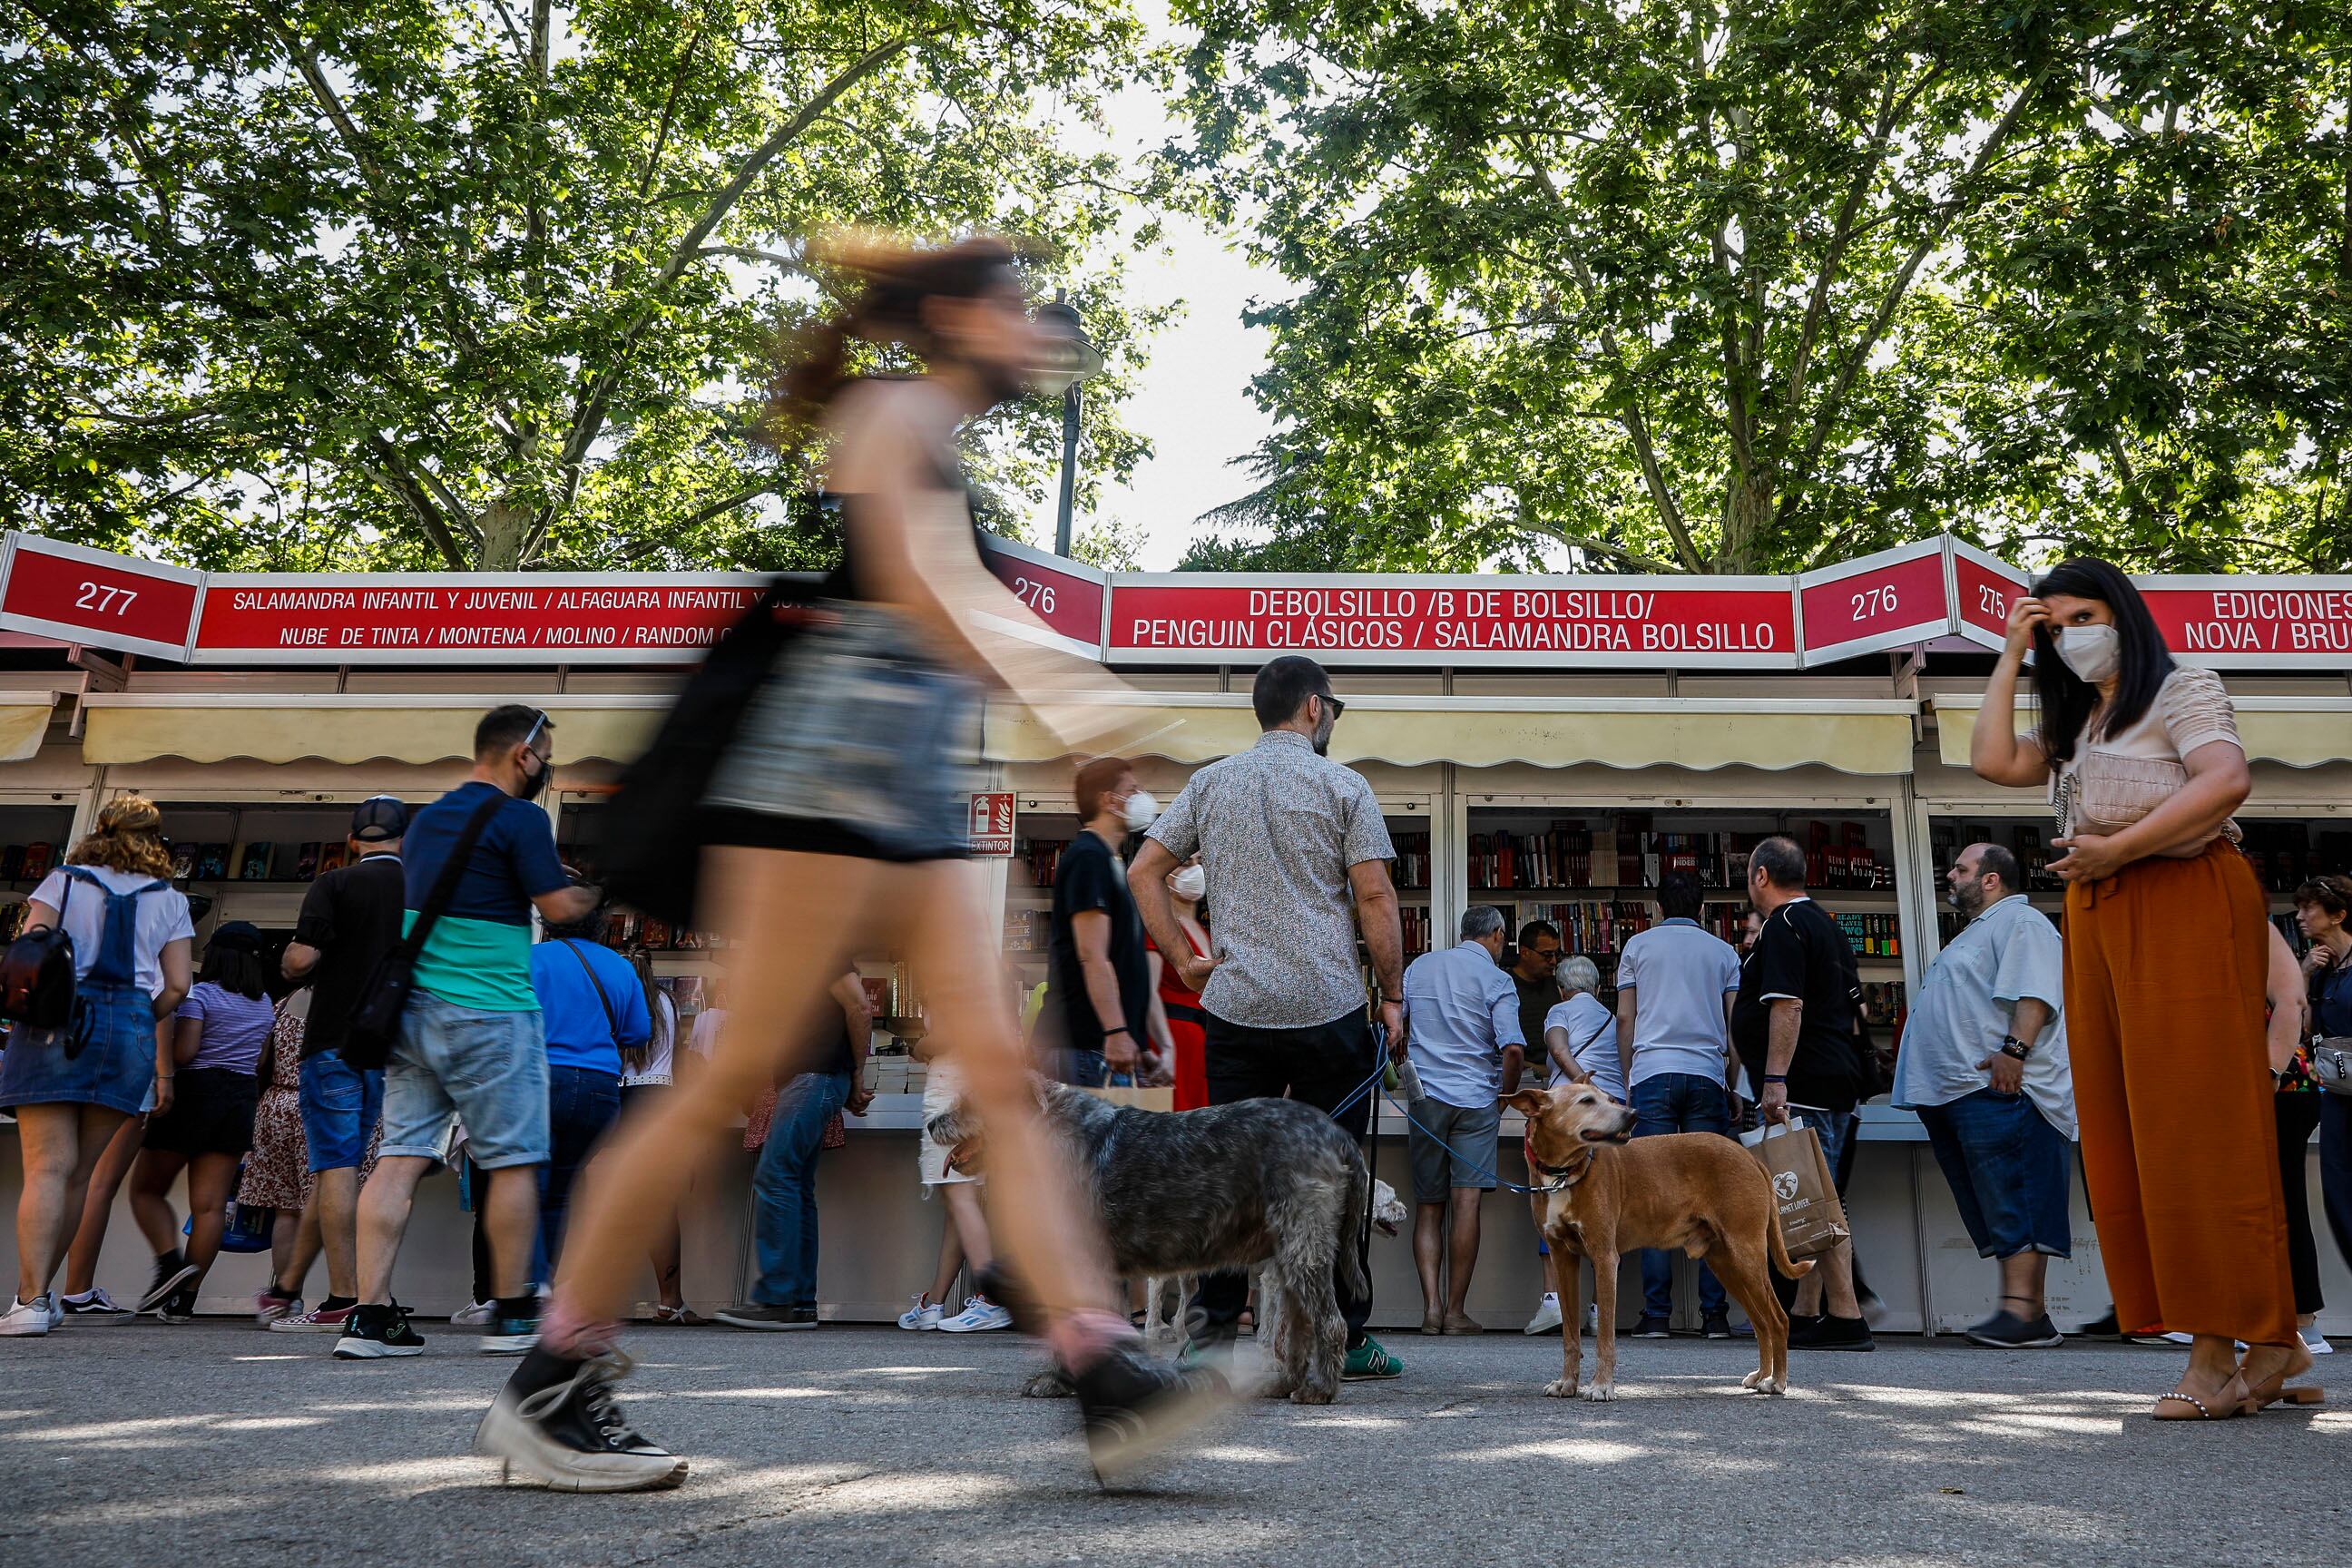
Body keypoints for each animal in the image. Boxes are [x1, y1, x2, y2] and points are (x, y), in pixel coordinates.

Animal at [931, 1085, 1373, 1401]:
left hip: (1303, 1246)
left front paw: (1059, 1381)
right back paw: (1286, 1383)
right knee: (1299, 1326)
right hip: (1290, 1254)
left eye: (971, 1101)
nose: (933, 1122)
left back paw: (1321, 1389)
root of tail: (1336, 1134)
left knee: (1329, 1323)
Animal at [1504, 1081, 1816, 1401]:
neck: (1565, 1172)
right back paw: (1763, 1375)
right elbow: (1569, 1334)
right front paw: (1567, 1382)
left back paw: (1777, 1381)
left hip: (1746, 1256)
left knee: (1777, 1320)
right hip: (1726, 1264)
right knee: (1761, 1323)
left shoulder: (1604, 1258)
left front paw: (1602, 1385)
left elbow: (1605, 1336)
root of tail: (1749, 1156)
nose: (1631, 1114)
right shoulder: (1562, 1259)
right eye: (1586, 1101)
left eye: (1610, 1098)